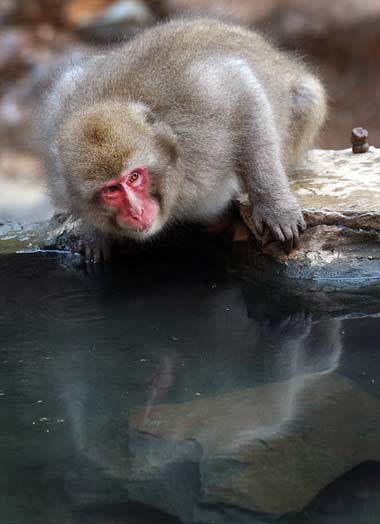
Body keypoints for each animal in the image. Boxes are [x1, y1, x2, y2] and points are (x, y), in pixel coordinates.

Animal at [40, 16, 326, 262]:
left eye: (134, 177)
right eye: (111, 189)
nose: (136, 211)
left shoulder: (204, 101)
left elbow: (242, 91)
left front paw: (275, 207)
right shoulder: (60, 108)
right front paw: (94, 231)